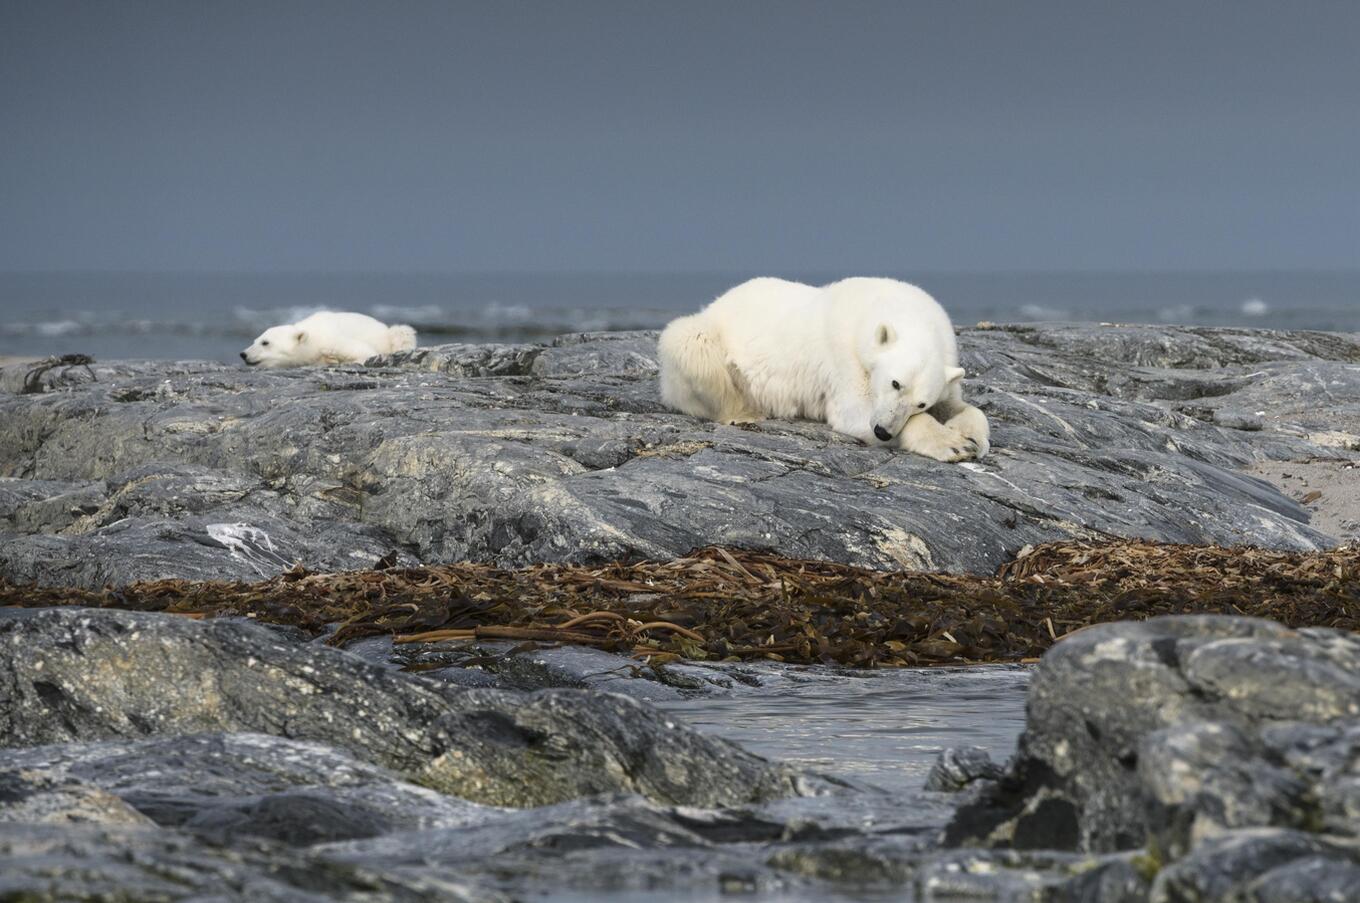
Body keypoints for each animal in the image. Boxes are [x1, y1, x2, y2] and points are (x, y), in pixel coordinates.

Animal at [239, 310, 416, 367]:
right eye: (255, 340)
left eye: (265, 342)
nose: (243, 354)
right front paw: (329, 360)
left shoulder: (332, 339)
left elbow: (364, 352)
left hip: (394, 335)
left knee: (403, 333)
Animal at [658, 277, 990, 462]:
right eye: (895, 383)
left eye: (921, 402)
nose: (882, 431)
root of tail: (717, 302)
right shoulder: (844, 357)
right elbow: (854, 411)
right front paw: (954, 445)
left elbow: (961, 406)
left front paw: (975, 438)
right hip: (707, 338)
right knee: (691, 344)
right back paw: (745, 412)